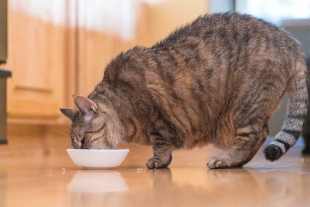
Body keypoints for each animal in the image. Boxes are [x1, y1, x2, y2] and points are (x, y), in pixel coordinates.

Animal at [60, 12, 308, 168]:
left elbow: (160, 144)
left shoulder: (158, 119)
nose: (82, 153)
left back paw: (227, 160)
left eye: (83, 140)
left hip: (243, 106)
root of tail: (291, 43)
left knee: (255, 136)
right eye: (76, 145)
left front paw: (158, 161)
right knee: (261, 135)